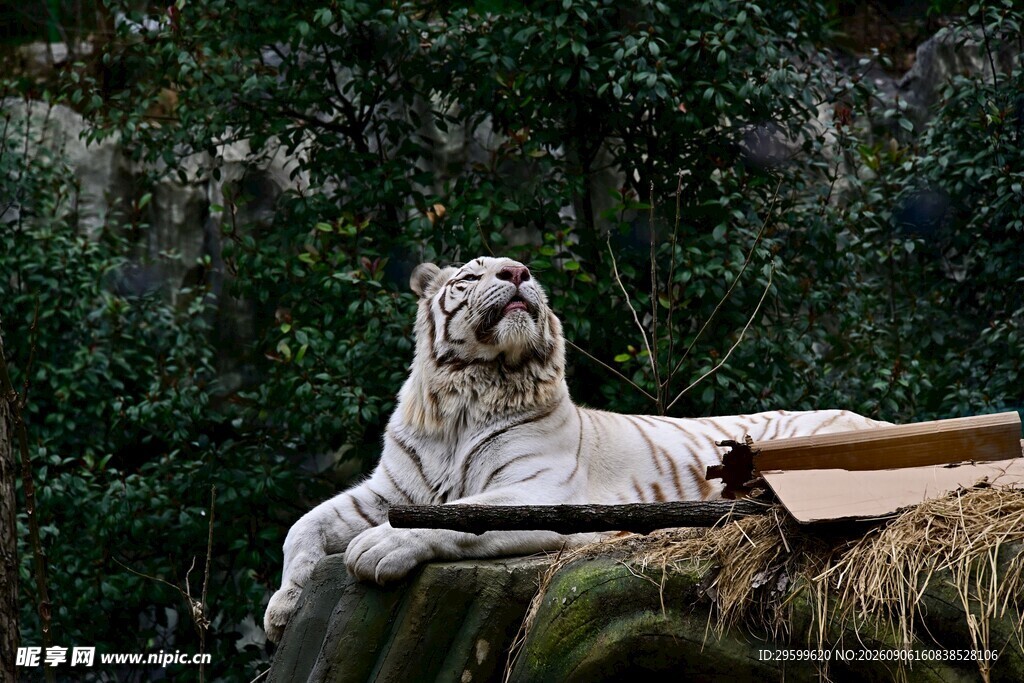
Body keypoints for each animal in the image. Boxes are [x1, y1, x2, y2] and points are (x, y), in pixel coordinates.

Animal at [263, 255, 886, 642]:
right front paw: (283, 607)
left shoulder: (540, 490)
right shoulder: (387, 488)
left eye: (520, 267)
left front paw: (377, 547)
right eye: (471, 275)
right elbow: (303, 525)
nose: (518, 272)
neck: (468, 397)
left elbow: (461, 514)